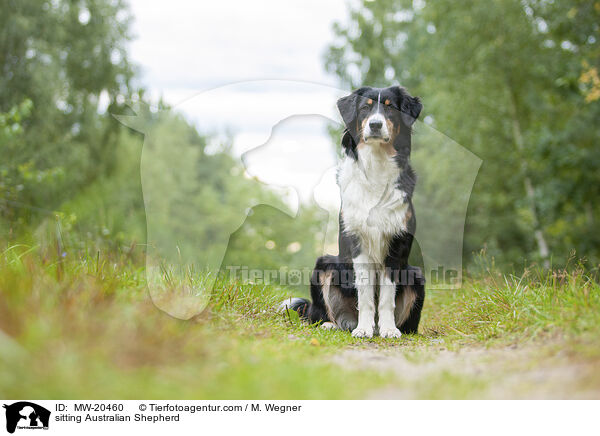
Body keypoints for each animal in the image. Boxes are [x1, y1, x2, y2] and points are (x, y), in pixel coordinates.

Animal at [286, 85, 426, 338]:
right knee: (322, 314)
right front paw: (363, 329)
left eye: (390, 108)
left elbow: (387, 297)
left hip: (416, 274)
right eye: (364, 108)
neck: (377, 164)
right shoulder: (358, 243)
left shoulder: (397, 244)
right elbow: (366, 295)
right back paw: (335, 324)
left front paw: (389, 329)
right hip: (325, 264)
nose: (375, 125)